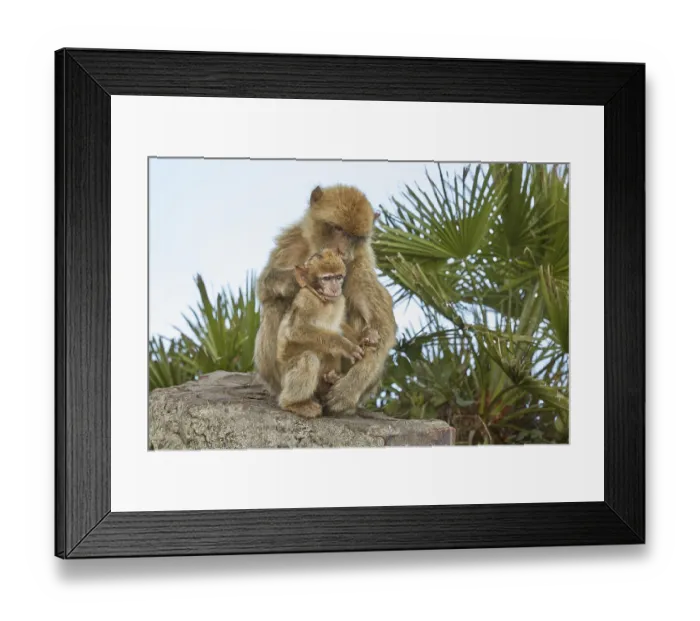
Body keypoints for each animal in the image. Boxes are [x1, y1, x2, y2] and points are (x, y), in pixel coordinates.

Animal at [276, 248, 365, 418]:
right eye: (327, 278)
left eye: (338, 277)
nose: (335, 287)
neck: (324, 301)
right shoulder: (307, 300)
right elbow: (297, 330)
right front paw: (346, 345)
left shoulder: (339, 301)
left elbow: (340, 324)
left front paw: (364, 337)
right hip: (284, 377)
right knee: (308, 359)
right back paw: (294, 403)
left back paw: (331, 380)